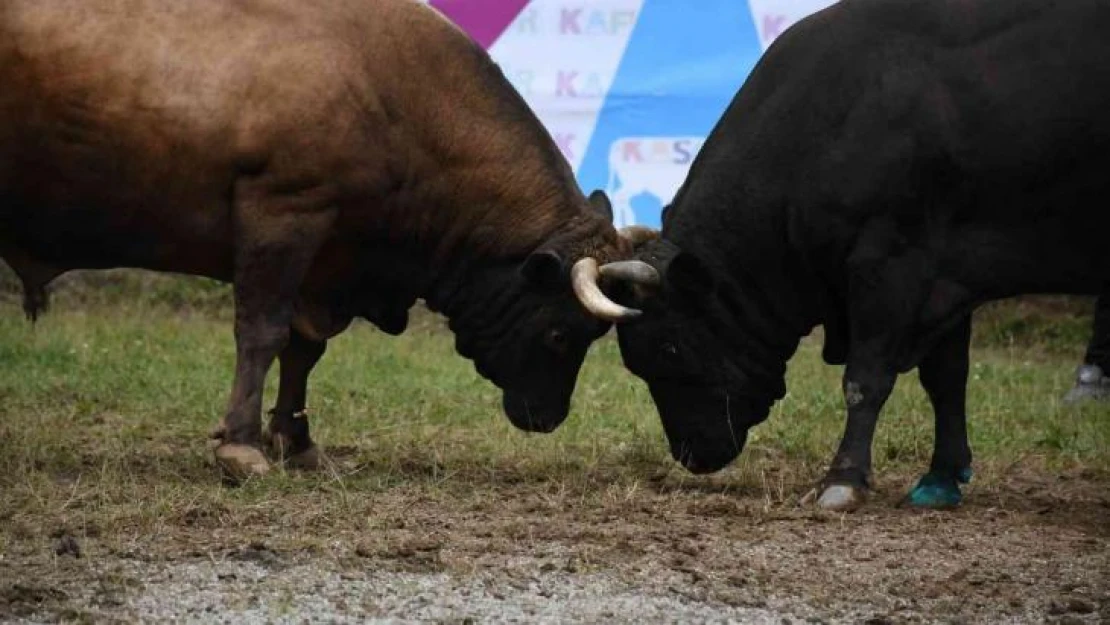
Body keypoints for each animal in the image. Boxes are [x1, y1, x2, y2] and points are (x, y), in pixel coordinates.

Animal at [608, 0, 1110, 510]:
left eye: (670, 347)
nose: (690, 453)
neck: (833, 118)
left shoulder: (891, 265)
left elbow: (865, 379)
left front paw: (842, 478)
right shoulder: (947, 278)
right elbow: (946, 378)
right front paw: (941, 476)